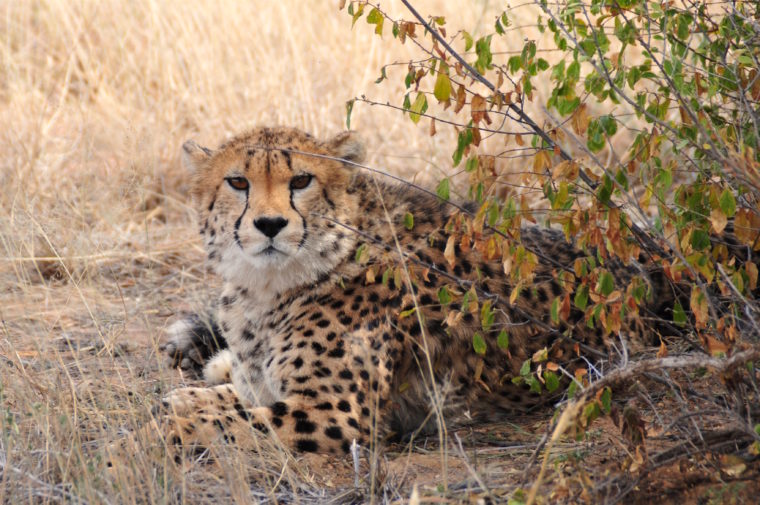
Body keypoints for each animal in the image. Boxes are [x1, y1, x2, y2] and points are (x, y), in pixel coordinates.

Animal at [162, 125, 676, 452]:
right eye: (237, 182)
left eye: (302, 180)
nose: (269, 225)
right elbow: (228, 402)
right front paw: (193, 394)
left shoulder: (336, 414)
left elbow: (215, 421)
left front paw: (163, 427)